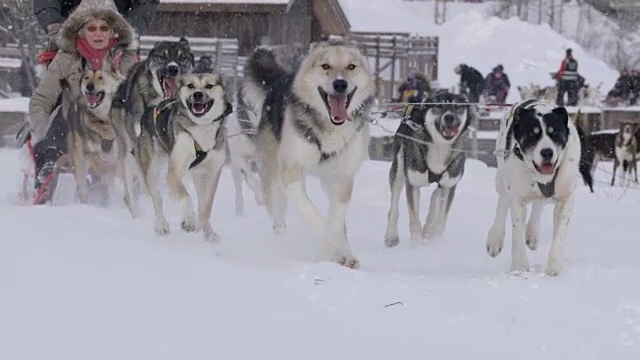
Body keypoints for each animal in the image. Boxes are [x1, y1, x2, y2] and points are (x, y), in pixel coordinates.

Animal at [135, 73, 232, 242]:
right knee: (157, 199)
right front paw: (189, 220)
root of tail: (150, 109)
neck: (201, 127)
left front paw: (208, 233)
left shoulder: (212, 173)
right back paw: (161, 225)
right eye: (190, 85)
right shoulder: (174, 172)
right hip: (152, 168)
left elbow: (206, 206)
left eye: (209, 86)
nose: (198, 94)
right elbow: (186, 196)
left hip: (197, 175)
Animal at [242, 41, 378, 268]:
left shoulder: (342, 179)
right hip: (273, 179)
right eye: (325, 66)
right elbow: (310, 212)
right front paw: (327, 249)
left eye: (351, 66)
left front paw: (341, 252)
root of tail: (280, 80)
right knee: (277, 216)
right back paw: (281, 240)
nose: (340, 84)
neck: (329, 128)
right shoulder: (291, 170)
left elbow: (336, 221)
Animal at [488, 98, 584, 276]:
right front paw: (520, 267)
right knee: (503, 201)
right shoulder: (517, 198)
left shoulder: (565, 198)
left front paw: (554, 267)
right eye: (533, 134)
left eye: (554, 133)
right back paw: (495, 238)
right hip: (503, 175)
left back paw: (532, 232)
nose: (547, 152)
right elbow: (517, 233)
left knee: (539, 205)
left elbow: (559, 236)